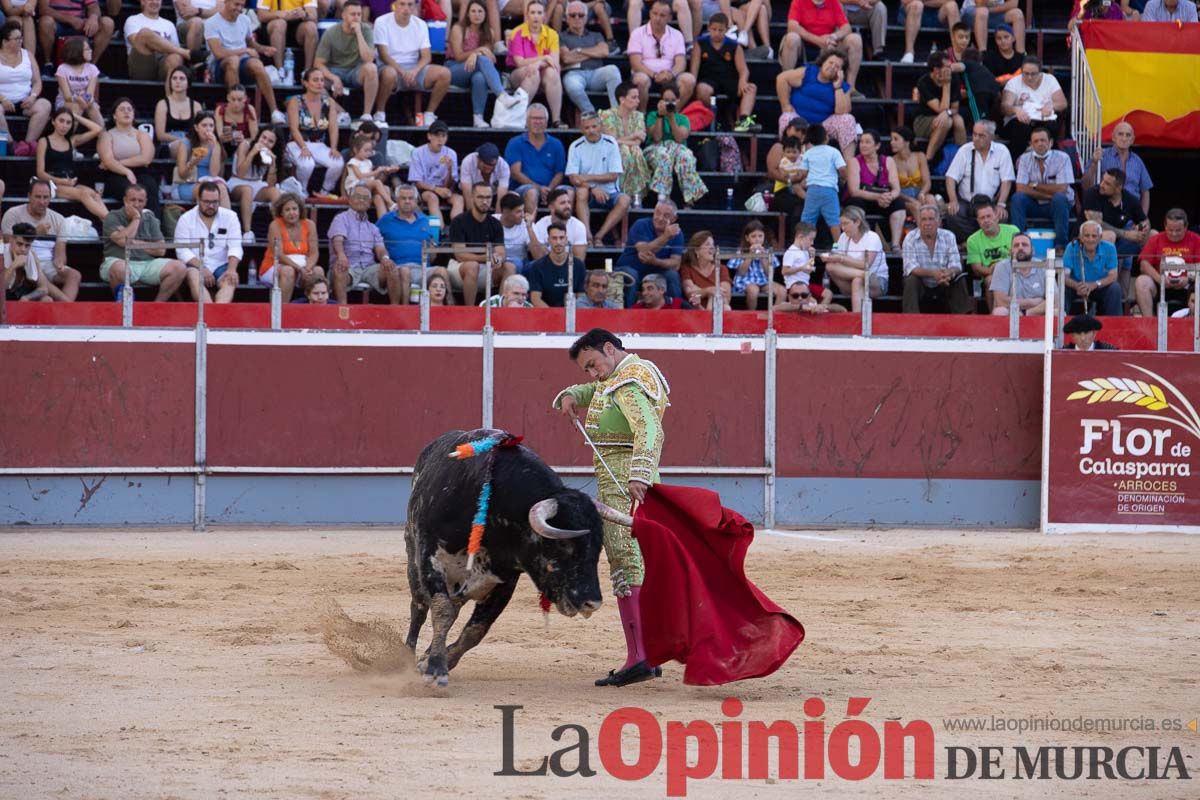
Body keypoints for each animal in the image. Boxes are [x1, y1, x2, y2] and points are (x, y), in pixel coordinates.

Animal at [403, 429, 628, 686]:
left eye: (598, 548)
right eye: (564, 545)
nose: (592, 603)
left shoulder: (505, 580)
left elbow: (477, 629)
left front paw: (438, 660)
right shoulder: (431, 558)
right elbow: (441, 610)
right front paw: (435, 669)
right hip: (413, 561)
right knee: (419, 607)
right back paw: (407, 657)